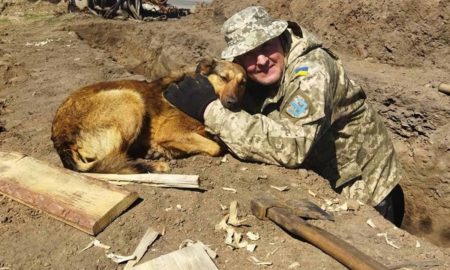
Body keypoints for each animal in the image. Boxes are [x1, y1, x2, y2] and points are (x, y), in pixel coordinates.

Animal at [51, 58, 246, 173]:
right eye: (223, 78)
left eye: (243, 83)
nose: (234, 103)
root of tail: (60, 135)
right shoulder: (170, 132)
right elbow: (216, 147)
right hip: (130, 100)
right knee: (115, 159)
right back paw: (153, 164)